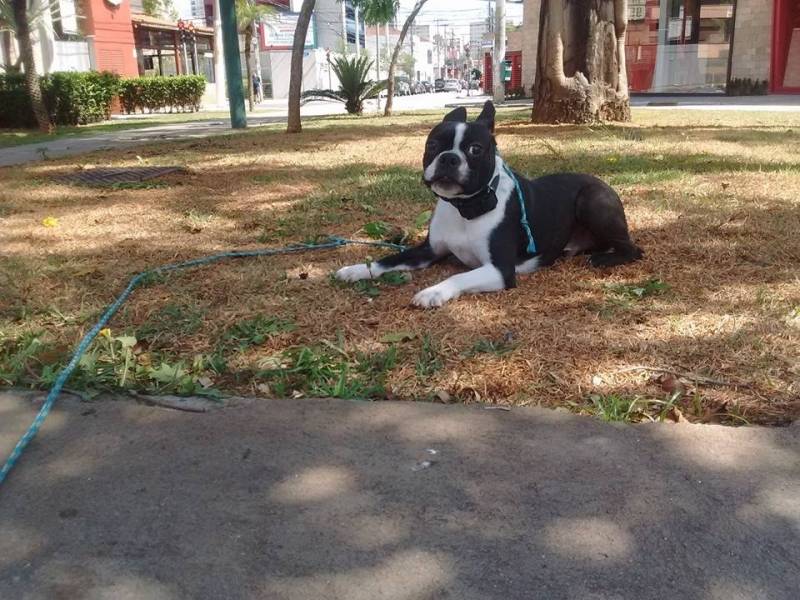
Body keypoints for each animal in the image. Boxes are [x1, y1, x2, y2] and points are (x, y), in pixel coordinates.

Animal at [334, 101, 640, 308]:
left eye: (475, 149)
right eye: (432, 145)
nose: (449, 158)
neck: (464, 208)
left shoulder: (500, 270)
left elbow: (459, 277)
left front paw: (433, 291)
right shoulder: (428, 251)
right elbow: (389, 259)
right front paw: (357, 269)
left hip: (592, 199)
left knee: (634, 250)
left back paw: (604, 258)